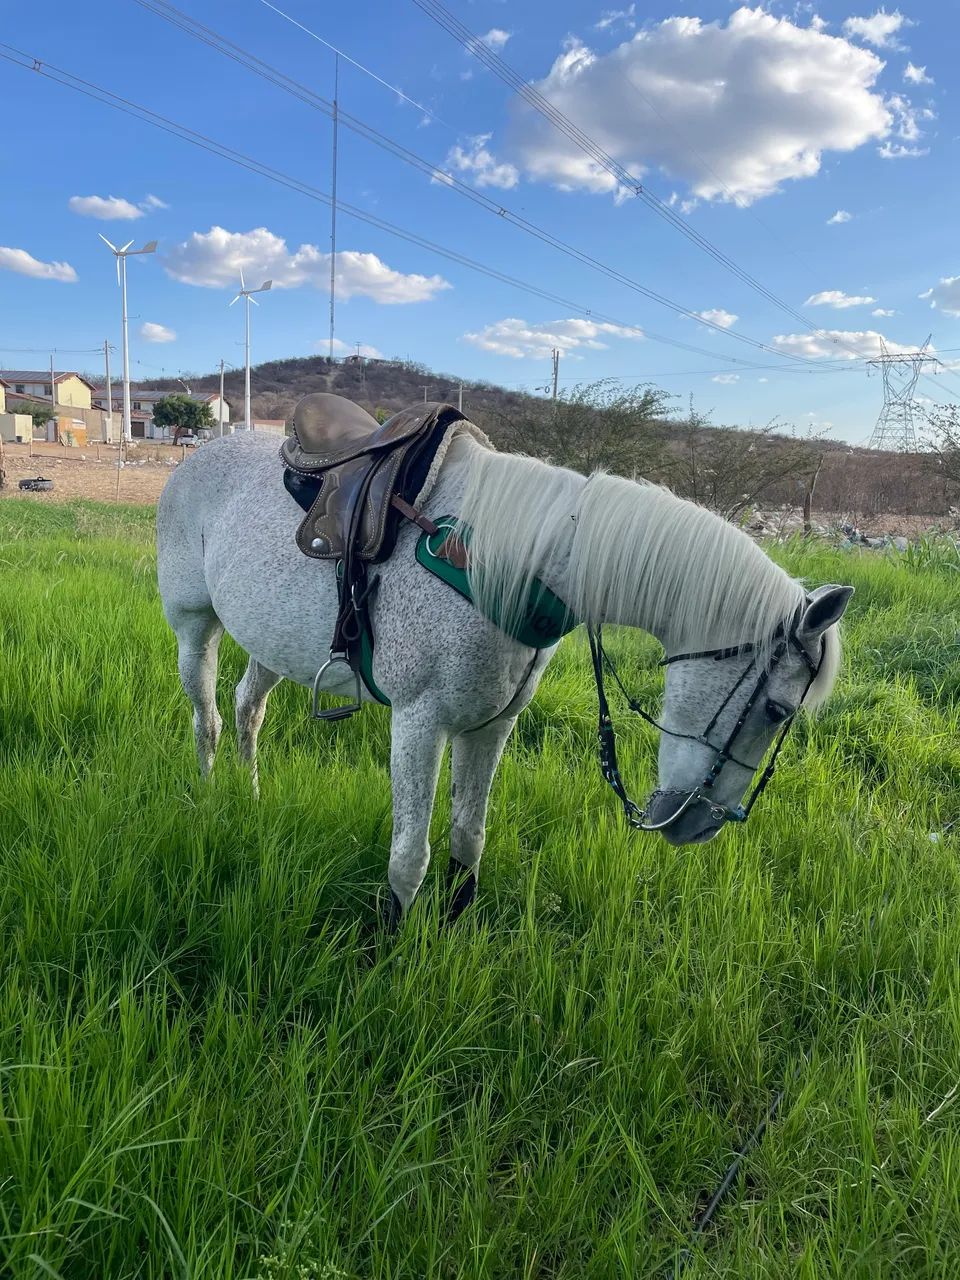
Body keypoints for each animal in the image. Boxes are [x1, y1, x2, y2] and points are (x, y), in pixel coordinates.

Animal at [156, 423, 851, 925]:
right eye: (778, 711)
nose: (698, 825)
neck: (495, 557)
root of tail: (194, 460)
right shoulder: (419, 725)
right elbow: (409, 857)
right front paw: (386, 954)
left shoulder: (490, 726)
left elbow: (468, 839)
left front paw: (453, 931)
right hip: (195, 628)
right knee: (207, 718)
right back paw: (209, 800)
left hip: (269, 645)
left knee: (247, 711)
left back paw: (250, 797)